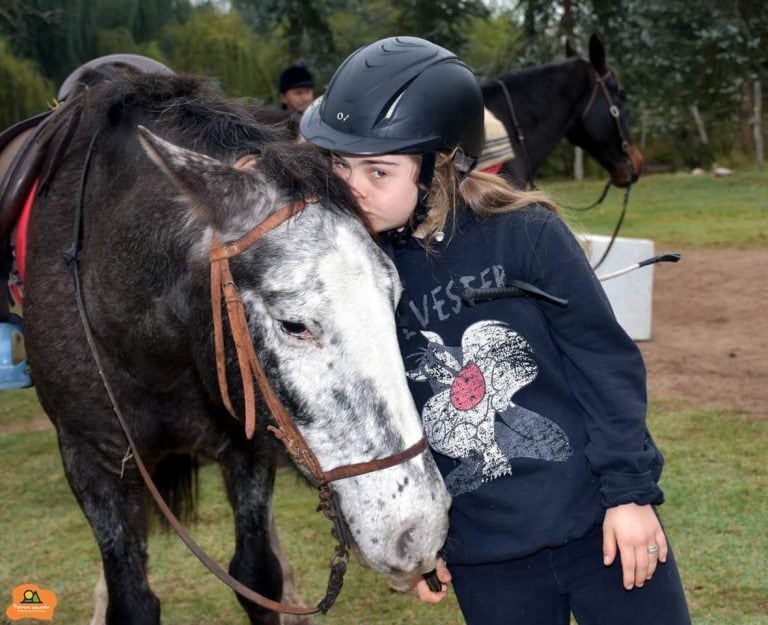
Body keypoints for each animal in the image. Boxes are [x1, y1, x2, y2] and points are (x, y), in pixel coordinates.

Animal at [24, 66, 450, 620]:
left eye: (395, 299)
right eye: (293, 326)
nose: (418, 532)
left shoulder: (247, 447)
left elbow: (256, 573)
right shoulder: (90, 458)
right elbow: (131, 595)